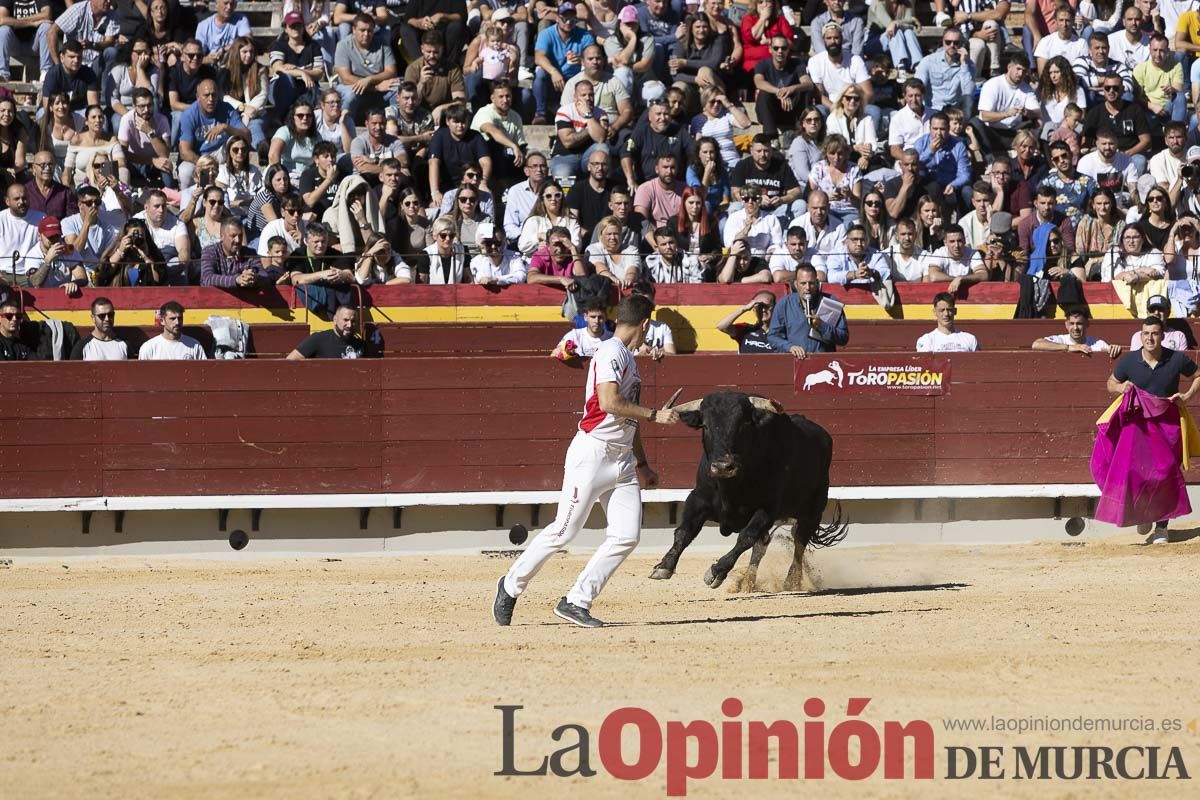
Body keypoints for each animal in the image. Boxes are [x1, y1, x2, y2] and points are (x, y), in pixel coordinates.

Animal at [648, 391, 844, 592]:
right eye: (705, 425)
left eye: (744, 424)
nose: (723, 467)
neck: (730, 486)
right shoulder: (697, 499)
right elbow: (684, 531)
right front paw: (664, 566)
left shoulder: (767, 509)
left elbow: (745, 538)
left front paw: (716, 571)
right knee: (762, 546)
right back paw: (747, 582)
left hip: (813, 511)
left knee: (799, 540)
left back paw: (792, 581)